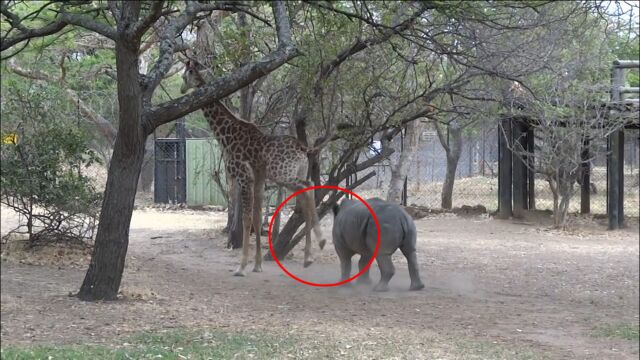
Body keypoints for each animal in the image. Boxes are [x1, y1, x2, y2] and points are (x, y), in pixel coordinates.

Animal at [181, 60, 328, 278]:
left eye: (185, 75)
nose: (182, 89)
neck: (226, 135)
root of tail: (303, 148)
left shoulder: (244, 177)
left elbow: (246, 219)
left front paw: (241, 267)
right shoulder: (258, 179)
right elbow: (257, 219)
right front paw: (257, 265)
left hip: (282, 173)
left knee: (307, 188)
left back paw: (319, 243)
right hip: (295, 172)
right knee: (306, 192)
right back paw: (309, 256)